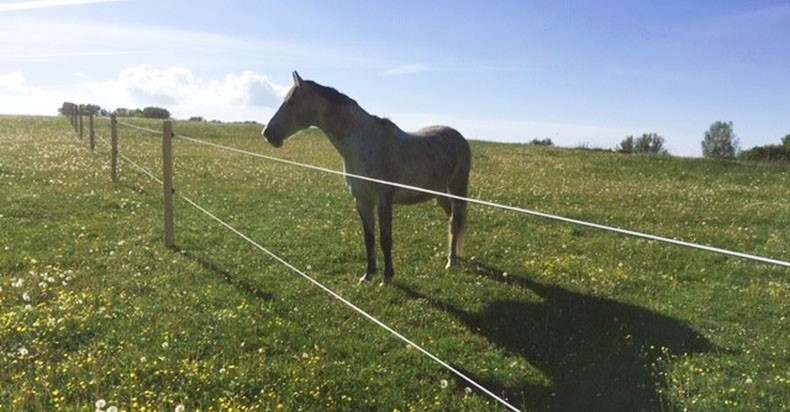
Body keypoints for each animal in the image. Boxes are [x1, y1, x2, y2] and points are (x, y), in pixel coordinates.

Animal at [263, 72, 471, 285]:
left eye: (292, 102)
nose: (268, 134)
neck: (363, 143)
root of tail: (459, 137)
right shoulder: (362, 201)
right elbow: (369, 238)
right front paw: (368, 274)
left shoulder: (384, 202)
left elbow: (385, 240)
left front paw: (387, 277)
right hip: (439, 193)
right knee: (452, 220)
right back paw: (453, 255)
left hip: (458, 188)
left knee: (456, 220)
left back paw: (452, 261)